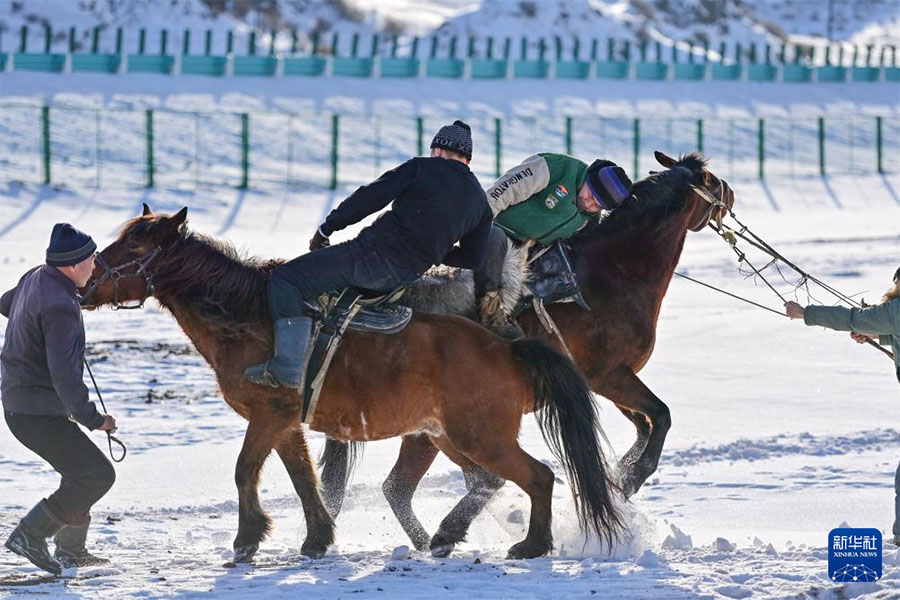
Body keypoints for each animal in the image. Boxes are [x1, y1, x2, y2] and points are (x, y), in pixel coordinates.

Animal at [82, 205, 624, 564]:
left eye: (134, 247)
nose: (84, 285)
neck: (251, 317)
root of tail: (505, 345)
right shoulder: (286, 423)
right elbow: (304, 479)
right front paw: (316, 538)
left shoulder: (268, 414)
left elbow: (245, 470)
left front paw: (246, 539)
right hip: (446, 436)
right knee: (484, 482)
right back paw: (447, 537)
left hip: (478, 437)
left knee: (536, 477)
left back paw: (529, 544)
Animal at [320, 149, 736, 548]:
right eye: (712, 181)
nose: (730, 194)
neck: (612, 274)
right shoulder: (609, 376)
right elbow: (660, 416)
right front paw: (631, 477)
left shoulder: (607, 382)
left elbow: (644, 424)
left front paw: (620, 476)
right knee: (419, 484)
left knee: (403, 487)